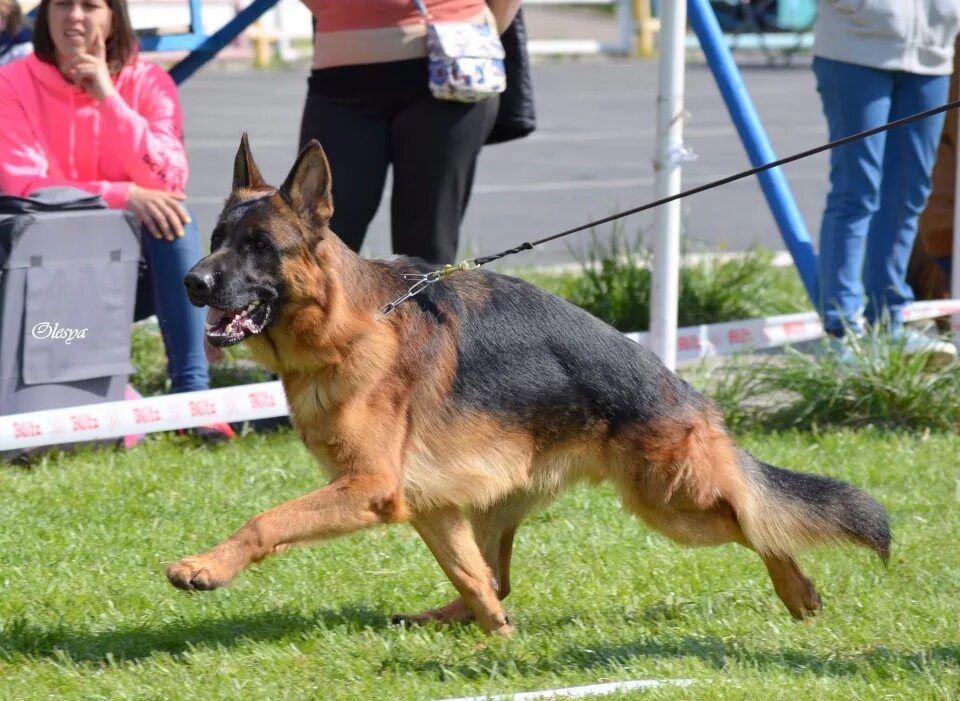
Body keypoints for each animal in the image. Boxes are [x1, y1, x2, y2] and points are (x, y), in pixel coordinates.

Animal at [167, 134, 892, 632]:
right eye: (216, 237)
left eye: (259, 246)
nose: (191, 283)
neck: (350, 323)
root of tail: (686, 393)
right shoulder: (423, 502)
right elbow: (471, 576)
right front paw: (502, 644)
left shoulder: (369, 488)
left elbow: (267, 520)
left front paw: (204, 566)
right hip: (496, 499)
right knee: (494, 578)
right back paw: (450, 622)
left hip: (671, 503)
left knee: (756, 520)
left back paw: (797, 592)